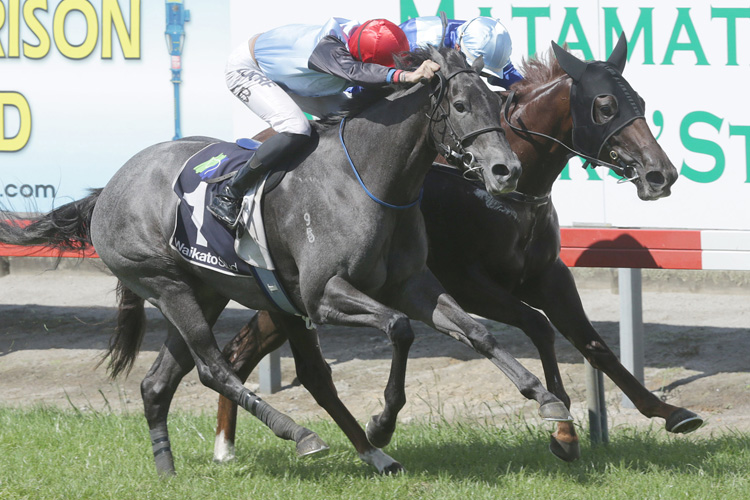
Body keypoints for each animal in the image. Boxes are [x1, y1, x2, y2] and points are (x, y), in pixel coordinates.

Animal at [0, 47, 580, 476]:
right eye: (459, 104)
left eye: (497, 102)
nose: (505, 171)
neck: (370, 180)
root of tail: (108, 189)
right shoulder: (323, 295)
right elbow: (398, 329)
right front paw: (383, 421)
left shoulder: (412, 284)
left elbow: (475, 332)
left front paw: (545, 398)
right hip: (169, 287)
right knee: (215, 368)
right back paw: (305, 435)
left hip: (211, 291)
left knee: (163, 382)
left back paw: (171, 470)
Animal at [213, 39, 704, 464]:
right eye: (605, 107)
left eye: (640, 102)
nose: (661, 174)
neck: (498, 190)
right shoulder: (467, 281)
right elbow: (538, 325)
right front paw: (562, 429)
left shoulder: (547, 274)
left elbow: (591, 342)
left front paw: (669, 412)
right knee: (239, 353)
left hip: (286, 295)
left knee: (239, 352)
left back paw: (227, 445)